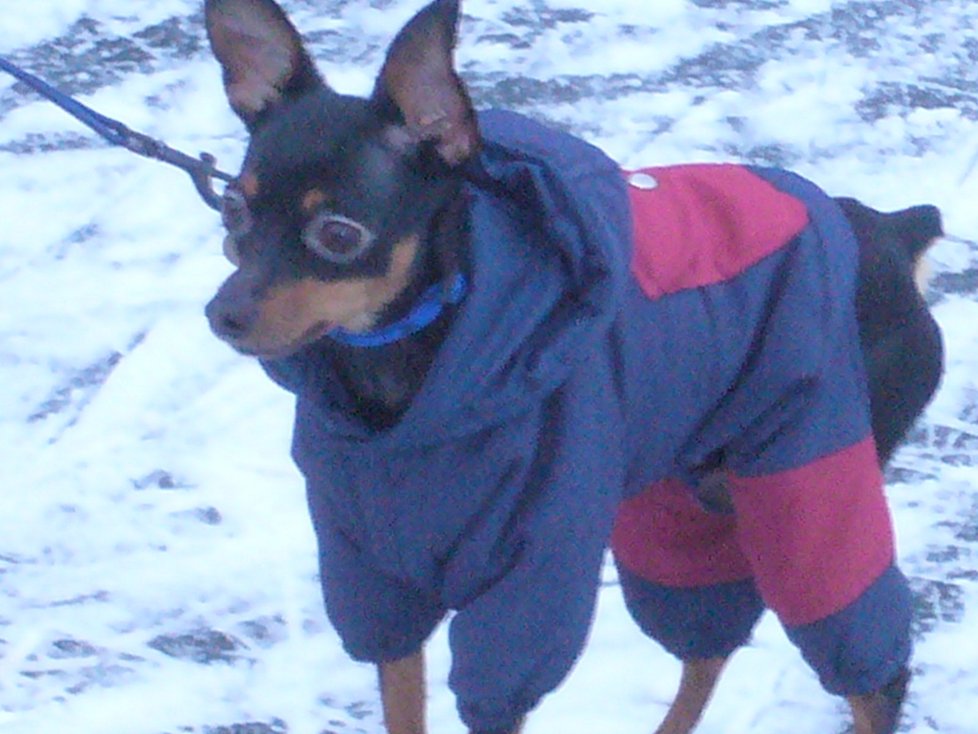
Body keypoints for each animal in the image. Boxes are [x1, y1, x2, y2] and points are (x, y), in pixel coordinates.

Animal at [202, 1, 940, 734]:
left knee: (874, 667)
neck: (400, 386)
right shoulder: (377, 583)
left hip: (812, 482)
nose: (221, 313)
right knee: (708, 645)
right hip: (684, 496)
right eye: (234, 207)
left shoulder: (525, 589)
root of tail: (888, 232)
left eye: (338, 234)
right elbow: (401, 705)